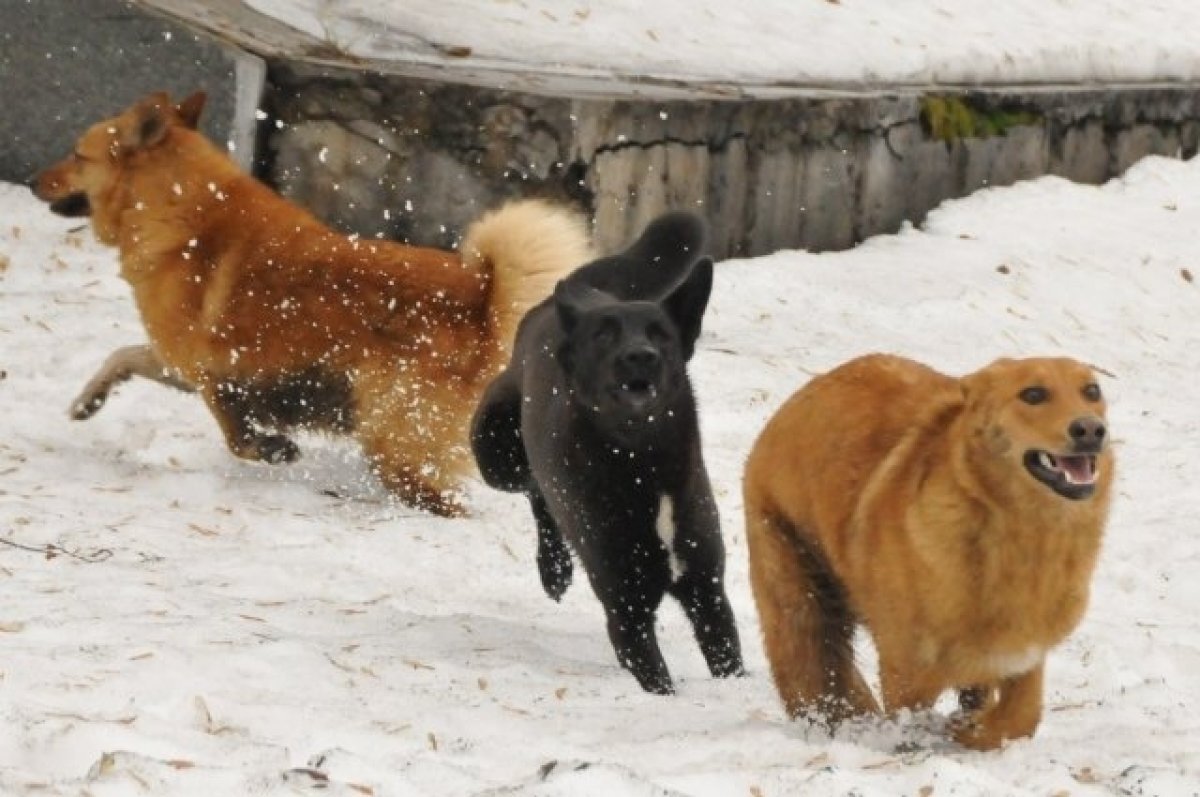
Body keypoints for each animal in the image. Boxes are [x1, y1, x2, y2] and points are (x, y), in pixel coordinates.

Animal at [28, 90, 590, 513]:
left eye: (77, 155)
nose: (33, 181)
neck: (182, 212)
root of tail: (482, 301)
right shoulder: (178, 363)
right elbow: (119, 356)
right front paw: (88, 402)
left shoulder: (211, 372)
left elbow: (235, 433)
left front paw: (272, 449)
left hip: (393, 444)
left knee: (442, 503)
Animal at [468, 211, 739, 691]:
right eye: (604, 337)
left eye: (661, 335)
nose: (640, 356)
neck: (645, 465)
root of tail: (573, 295)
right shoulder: (626, 612)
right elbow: (660, 683)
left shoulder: (708, 592)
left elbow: (730, 659)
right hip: (498, 456)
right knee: (537, 492)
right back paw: (554, 569)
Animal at [739, 355, 1113, 748]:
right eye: (1034, 394)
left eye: (1092, 391)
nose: (1091, 429)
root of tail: (793, 403)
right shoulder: (906, 671)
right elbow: (912, 723)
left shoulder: (1022, 656)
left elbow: (1020, 717)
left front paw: (969, 730)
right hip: (797, 596)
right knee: (810, 672)